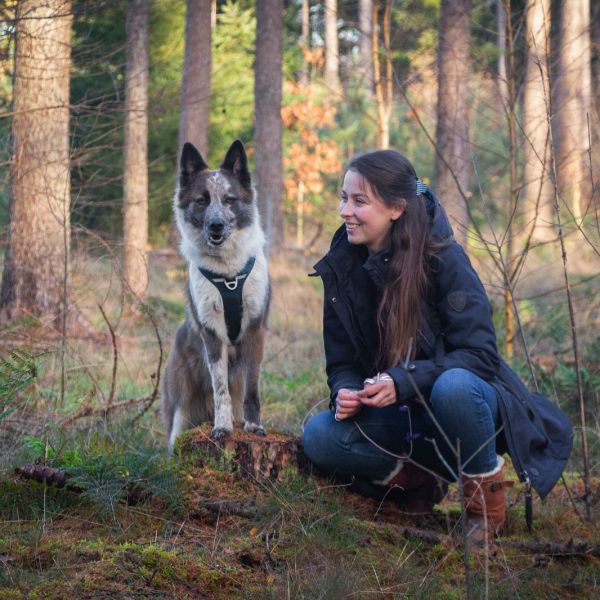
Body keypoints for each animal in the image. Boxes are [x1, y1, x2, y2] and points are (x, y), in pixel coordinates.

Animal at [162, 141, 270, 450]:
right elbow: (220, 389)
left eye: (229, 199)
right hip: (180, 407)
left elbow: (252, 391)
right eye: (202, 200)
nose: (216, 226)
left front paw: (254, 426)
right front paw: (222, 428)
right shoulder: (212, 334)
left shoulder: (254, 331)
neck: (229, 273)